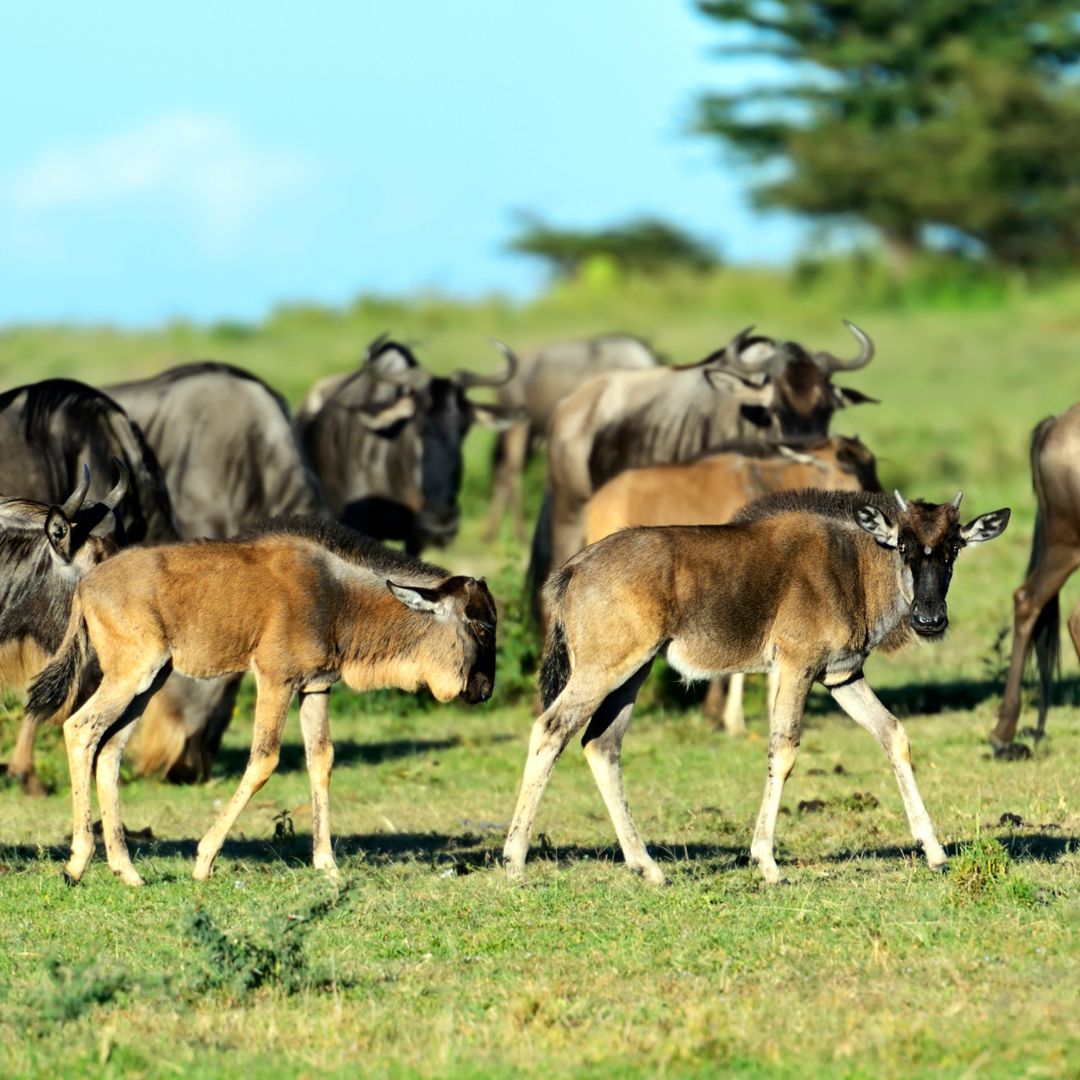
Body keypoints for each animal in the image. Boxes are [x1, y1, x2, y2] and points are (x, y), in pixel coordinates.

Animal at [26, 517, 498, 886]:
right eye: (480, 626)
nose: (485, 690)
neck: (335, 595)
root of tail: (86, 585)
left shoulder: (315, 688)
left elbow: (321, 760)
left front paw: (326, 863)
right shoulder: (275, 680)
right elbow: (264, 760)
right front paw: (204, 861)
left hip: (148, 683)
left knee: (109, 751)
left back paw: (126, 870)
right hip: (132, 675)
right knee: (80, 728)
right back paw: (77, 863)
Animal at [502, 489, 1010, 886]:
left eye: (953, 548)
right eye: (903, 545)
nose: (929, 618)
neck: (854, 563)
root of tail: (573, 569)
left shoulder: (842, 676)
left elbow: (894, 735)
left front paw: (934, 851)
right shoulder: (796, 666)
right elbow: (783, 750)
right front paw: (767, 861)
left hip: (632, 674)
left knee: (600, 744)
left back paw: (647, 867)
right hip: (603, 670)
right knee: (550, 730)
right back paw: (514, 862)